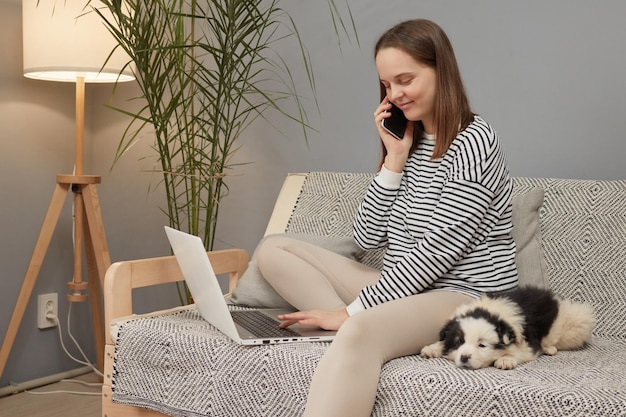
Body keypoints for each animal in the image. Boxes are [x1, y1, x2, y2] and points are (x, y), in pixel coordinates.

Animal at [420, 286, 588, 370]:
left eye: (482, 345)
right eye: (459, 342)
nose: (464, 357)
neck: (489, 311)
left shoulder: (529, 343)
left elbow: (520, 351)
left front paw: (505, 359)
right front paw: (433, 348)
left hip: (560, 324)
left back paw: (549, 348)